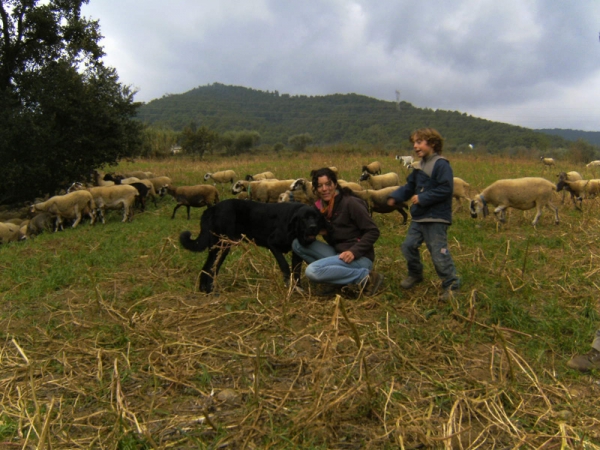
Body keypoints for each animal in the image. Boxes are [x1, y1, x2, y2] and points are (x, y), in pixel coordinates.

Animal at [180, 200, 326, 292]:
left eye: (316, 217)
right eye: (304, 218)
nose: (313, 227)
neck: (293, 227)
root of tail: (212, 208)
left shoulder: (296, 253)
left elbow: (296, 271)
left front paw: (297, 288)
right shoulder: (272, 243)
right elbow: (284, 265)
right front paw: (288, 283)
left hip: (219, 247)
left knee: (208, 268)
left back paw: (205, 290)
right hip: (222, 245)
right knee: (211, 268)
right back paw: (210, 290)